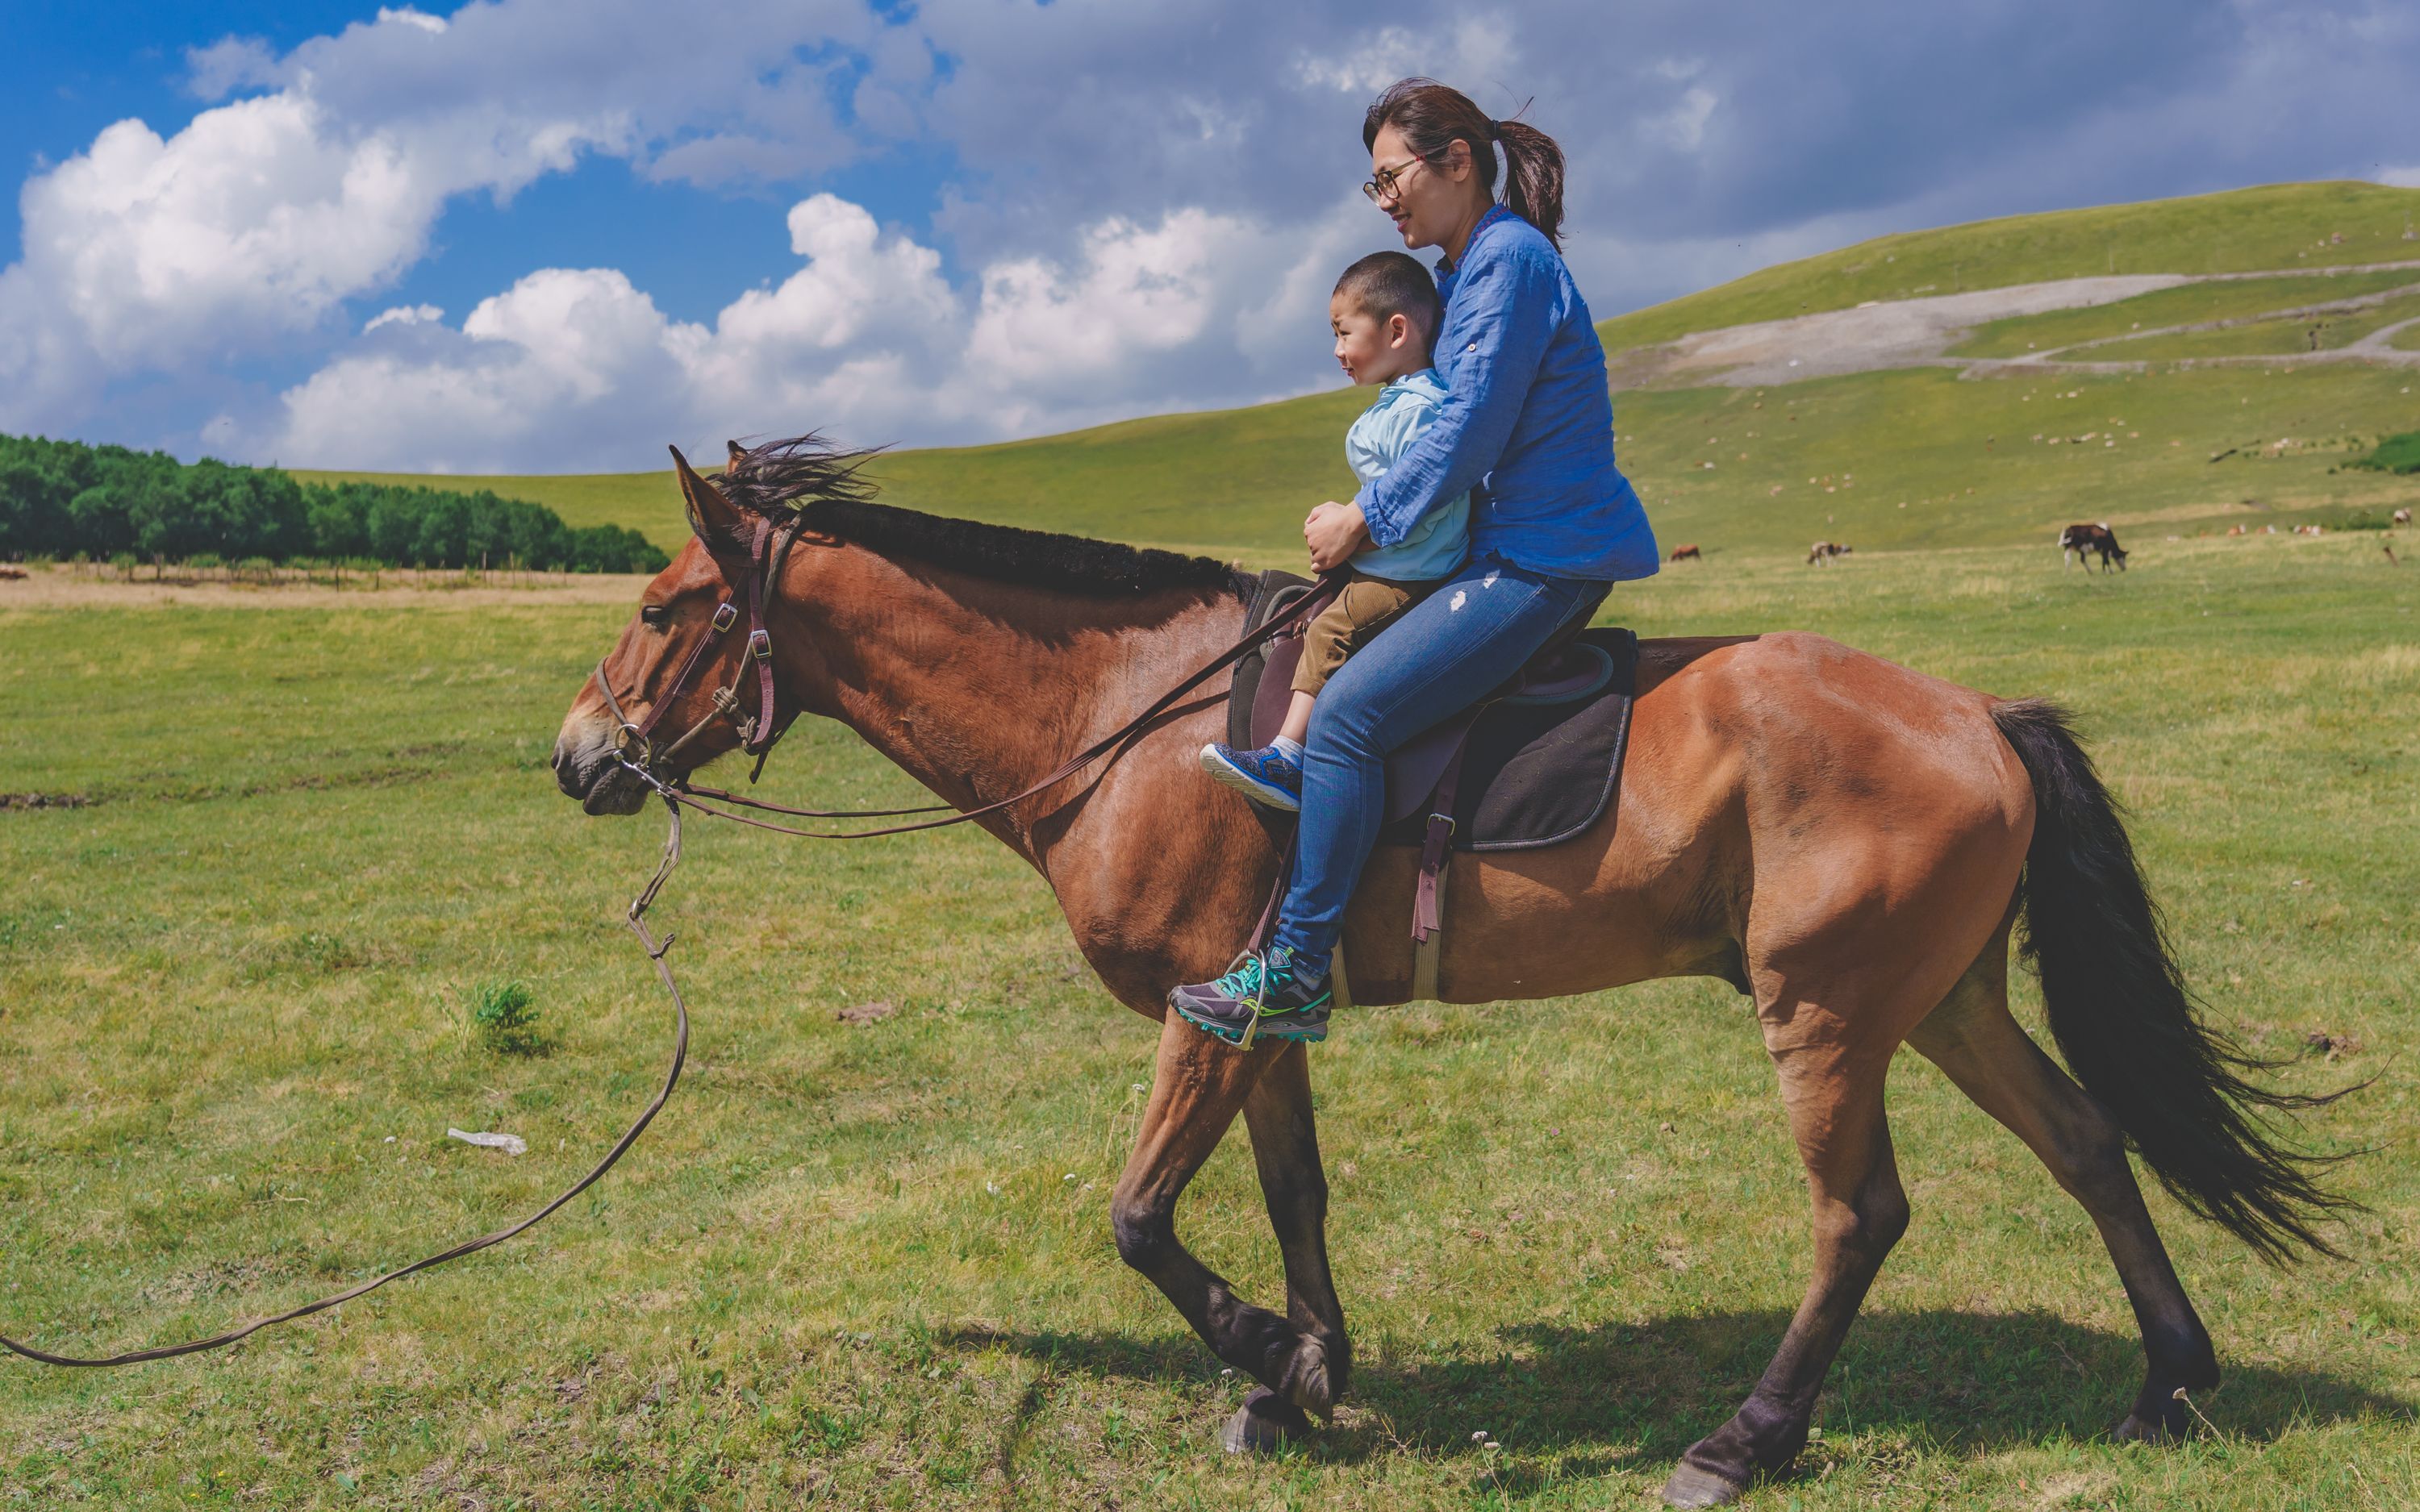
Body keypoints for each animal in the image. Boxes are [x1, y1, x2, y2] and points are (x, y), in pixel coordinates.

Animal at [554, 435, 2343, 1500]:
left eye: (663, 603)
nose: (577, 756)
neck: (1128, 722)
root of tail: (1978, 713)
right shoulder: (1260, 1012)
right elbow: (1290, 1195)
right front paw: (1304, 1373)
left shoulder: (1201, 1016)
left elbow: (1140, 1218)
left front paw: (1268, 1356)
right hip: (1949, 999)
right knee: (2088, 1142)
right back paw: (2171, 1381)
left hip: (1828, 1011)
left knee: (1862, 1214)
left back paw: (1747, 1437)